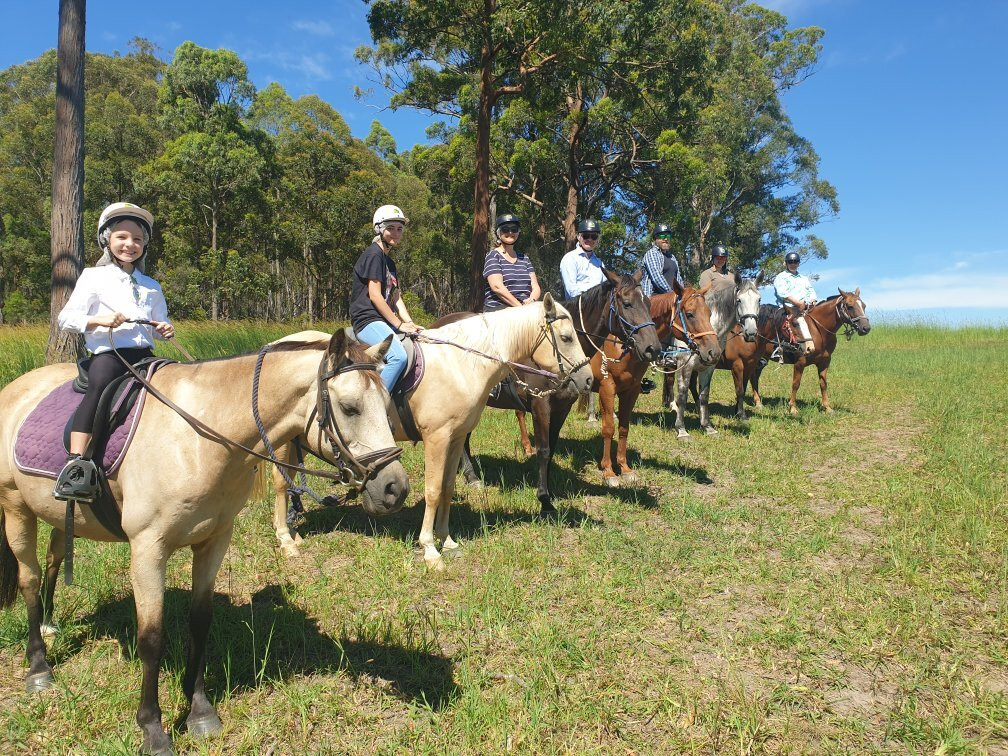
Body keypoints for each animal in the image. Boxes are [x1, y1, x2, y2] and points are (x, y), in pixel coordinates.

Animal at [0, 330, 409, 754]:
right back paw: (38, 667)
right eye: (349, 408)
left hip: (60, 514)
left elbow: (200, 622)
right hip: (15, 507)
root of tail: (16, 388)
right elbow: (151, 638)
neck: (199, 439)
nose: (395, 489)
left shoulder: (214, 540)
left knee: (53, 559)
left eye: (387, 405)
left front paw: (198, 711)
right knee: (29, 579)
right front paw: (153, 728)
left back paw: (49, 623)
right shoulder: (148, 548)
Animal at [270, 295, 594, 566]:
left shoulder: (456, 437)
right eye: (566, 337)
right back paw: (286, 537)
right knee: (281, 481)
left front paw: (446, 539)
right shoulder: (436, 438)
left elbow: (448, 487)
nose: (588, 379)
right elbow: (433, 489)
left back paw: (295, 524)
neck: (461, 365)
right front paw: (429, 548)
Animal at [447, 270, 663, 514]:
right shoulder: (541, 406)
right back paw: (471, 476)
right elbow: (543, 449)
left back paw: (469, 475)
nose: (653, 348)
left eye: (648, 303)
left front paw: (549, 492)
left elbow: (551, 449)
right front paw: (544, 500)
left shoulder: (562, 408)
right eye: (626, 303)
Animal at [595, 287, 720, 481]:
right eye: (690, 314)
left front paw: (624, 468)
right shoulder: (607, 388)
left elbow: (624, 428)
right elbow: (608, 429)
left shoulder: (631, 391)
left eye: (709, 313)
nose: (714, 352)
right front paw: (608, 472)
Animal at [661, 273, 763, 438]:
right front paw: (681, 430)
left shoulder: (709, 366)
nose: (751, 333)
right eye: (739, 300)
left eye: (759, 299)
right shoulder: (685, 364)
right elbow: (682, 395)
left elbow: (704, 395)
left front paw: (707, 426)